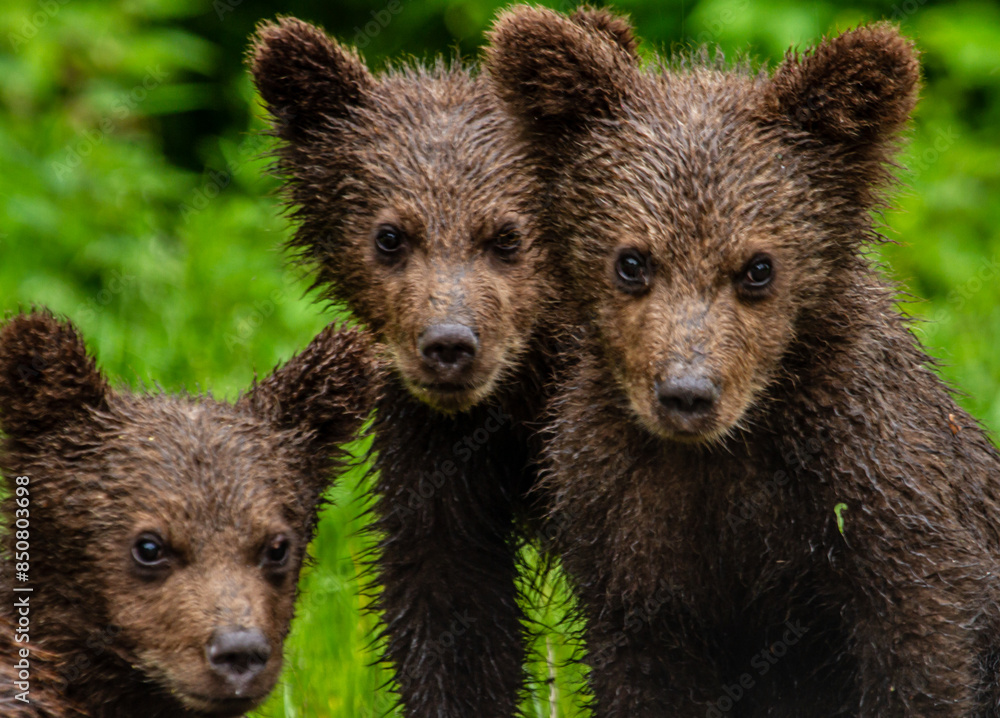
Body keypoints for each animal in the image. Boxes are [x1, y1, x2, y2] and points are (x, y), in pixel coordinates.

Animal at [247, 11, 637, 717]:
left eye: (507, 235)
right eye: (390, 235)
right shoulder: (436, 449)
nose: (449, 344)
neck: (525, 387)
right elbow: (449, 612)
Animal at [487, 8, 1000, 718]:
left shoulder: (879, 498)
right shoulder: (627, 540)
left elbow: (922, 650)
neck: (723, 457)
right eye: (632, 260)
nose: (687, 392)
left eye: (758, 267)